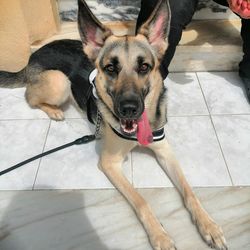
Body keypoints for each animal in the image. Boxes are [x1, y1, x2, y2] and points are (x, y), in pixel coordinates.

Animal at [0, 0, 228, 249]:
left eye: (144, 67)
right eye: (110, 68)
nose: (129, 108)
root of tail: (33, 55)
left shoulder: (165, 152)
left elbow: (189, 191)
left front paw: (208, 225)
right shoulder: (110, 164)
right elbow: (142, 201)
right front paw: (159, 235)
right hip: (59, 82)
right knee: (29, 97)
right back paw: (54, 111)